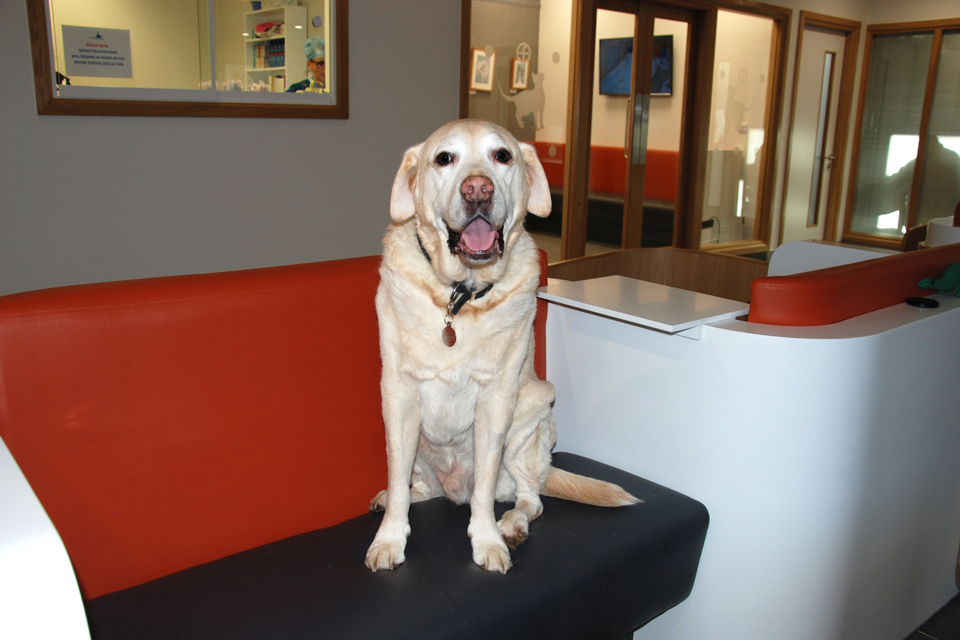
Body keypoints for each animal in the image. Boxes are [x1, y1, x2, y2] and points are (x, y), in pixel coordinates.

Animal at [366, 120, 636, 576]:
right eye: (444, 158)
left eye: (502, 156)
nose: (478, 189)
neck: (460, 294)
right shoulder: (399, 397)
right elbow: (396, 478)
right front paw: (389, 537)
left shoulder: (496, 400)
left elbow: (486, 490)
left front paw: (487, 540)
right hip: (421, 445)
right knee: (422, 488)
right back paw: (394, 499)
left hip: (531, 422)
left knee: (530, 499)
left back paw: (511, 524)